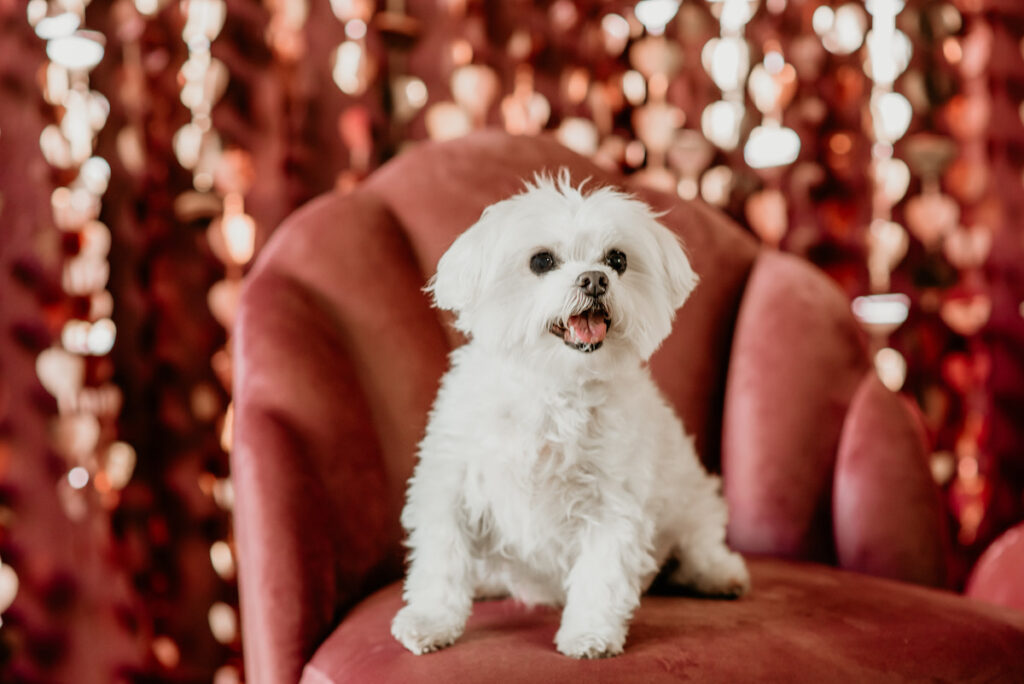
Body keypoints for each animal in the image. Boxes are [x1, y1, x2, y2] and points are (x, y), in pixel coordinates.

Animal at [387, 169, 749, 655]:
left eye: (617, 259)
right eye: (542, 261)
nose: (594, 279)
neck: (554, 385)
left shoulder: (613, 502)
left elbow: (602, 574)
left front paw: (590, 633)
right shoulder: (451, 487)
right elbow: (441, 562)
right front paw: (431, 620)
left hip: (692, 506)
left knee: (701, 544)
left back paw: (719, 575)